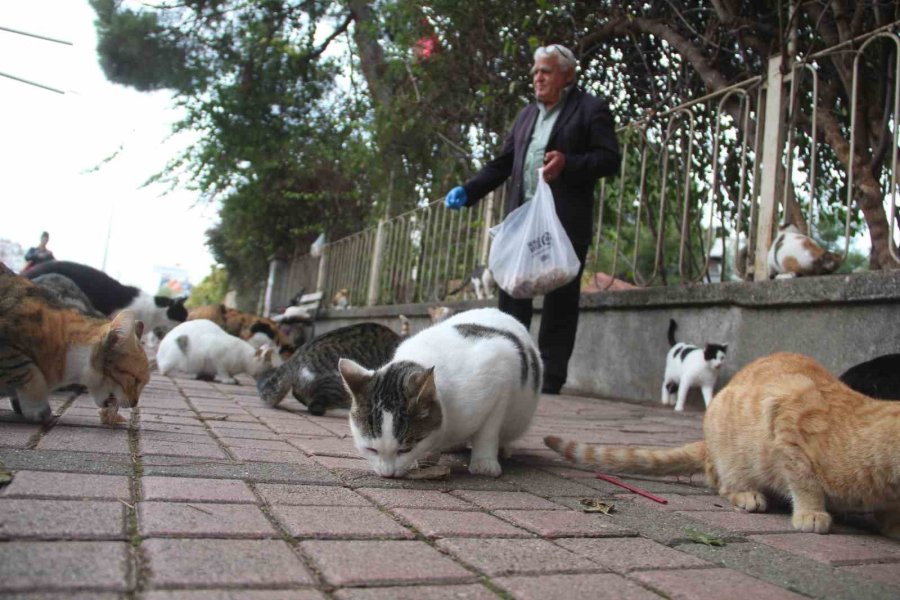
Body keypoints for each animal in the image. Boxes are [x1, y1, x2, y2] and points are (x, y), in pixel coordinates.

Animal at [340, 310, 540, 478]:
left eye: (405, 450)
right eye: (371, 449)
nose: (387, 474)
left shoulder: (500, 378)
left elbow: (487, 432)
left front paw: (484, 462)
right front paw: (428, 456)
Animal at [544, 352, 900, 536]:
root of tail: (707, 443)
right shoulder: (786, 425)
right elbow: (804, 481)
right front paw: (812, 512)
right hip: (732, 452)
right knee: (723, 483)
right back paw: (748, 495)